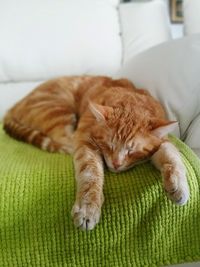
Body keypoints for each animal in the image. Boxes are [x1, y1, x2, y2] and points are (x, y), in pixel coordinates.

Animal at [3, 75, 190, 230]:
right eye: (109, 145)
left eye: (132, 151)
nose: (116, 164)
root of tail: (13, 107)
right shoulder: (85, 141)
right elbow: (91, 173)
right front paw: (88, 208)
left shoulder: (163, 141)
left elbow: (172, 156)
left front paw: (178, 186)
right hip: (59, 110)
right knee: (64, 142)